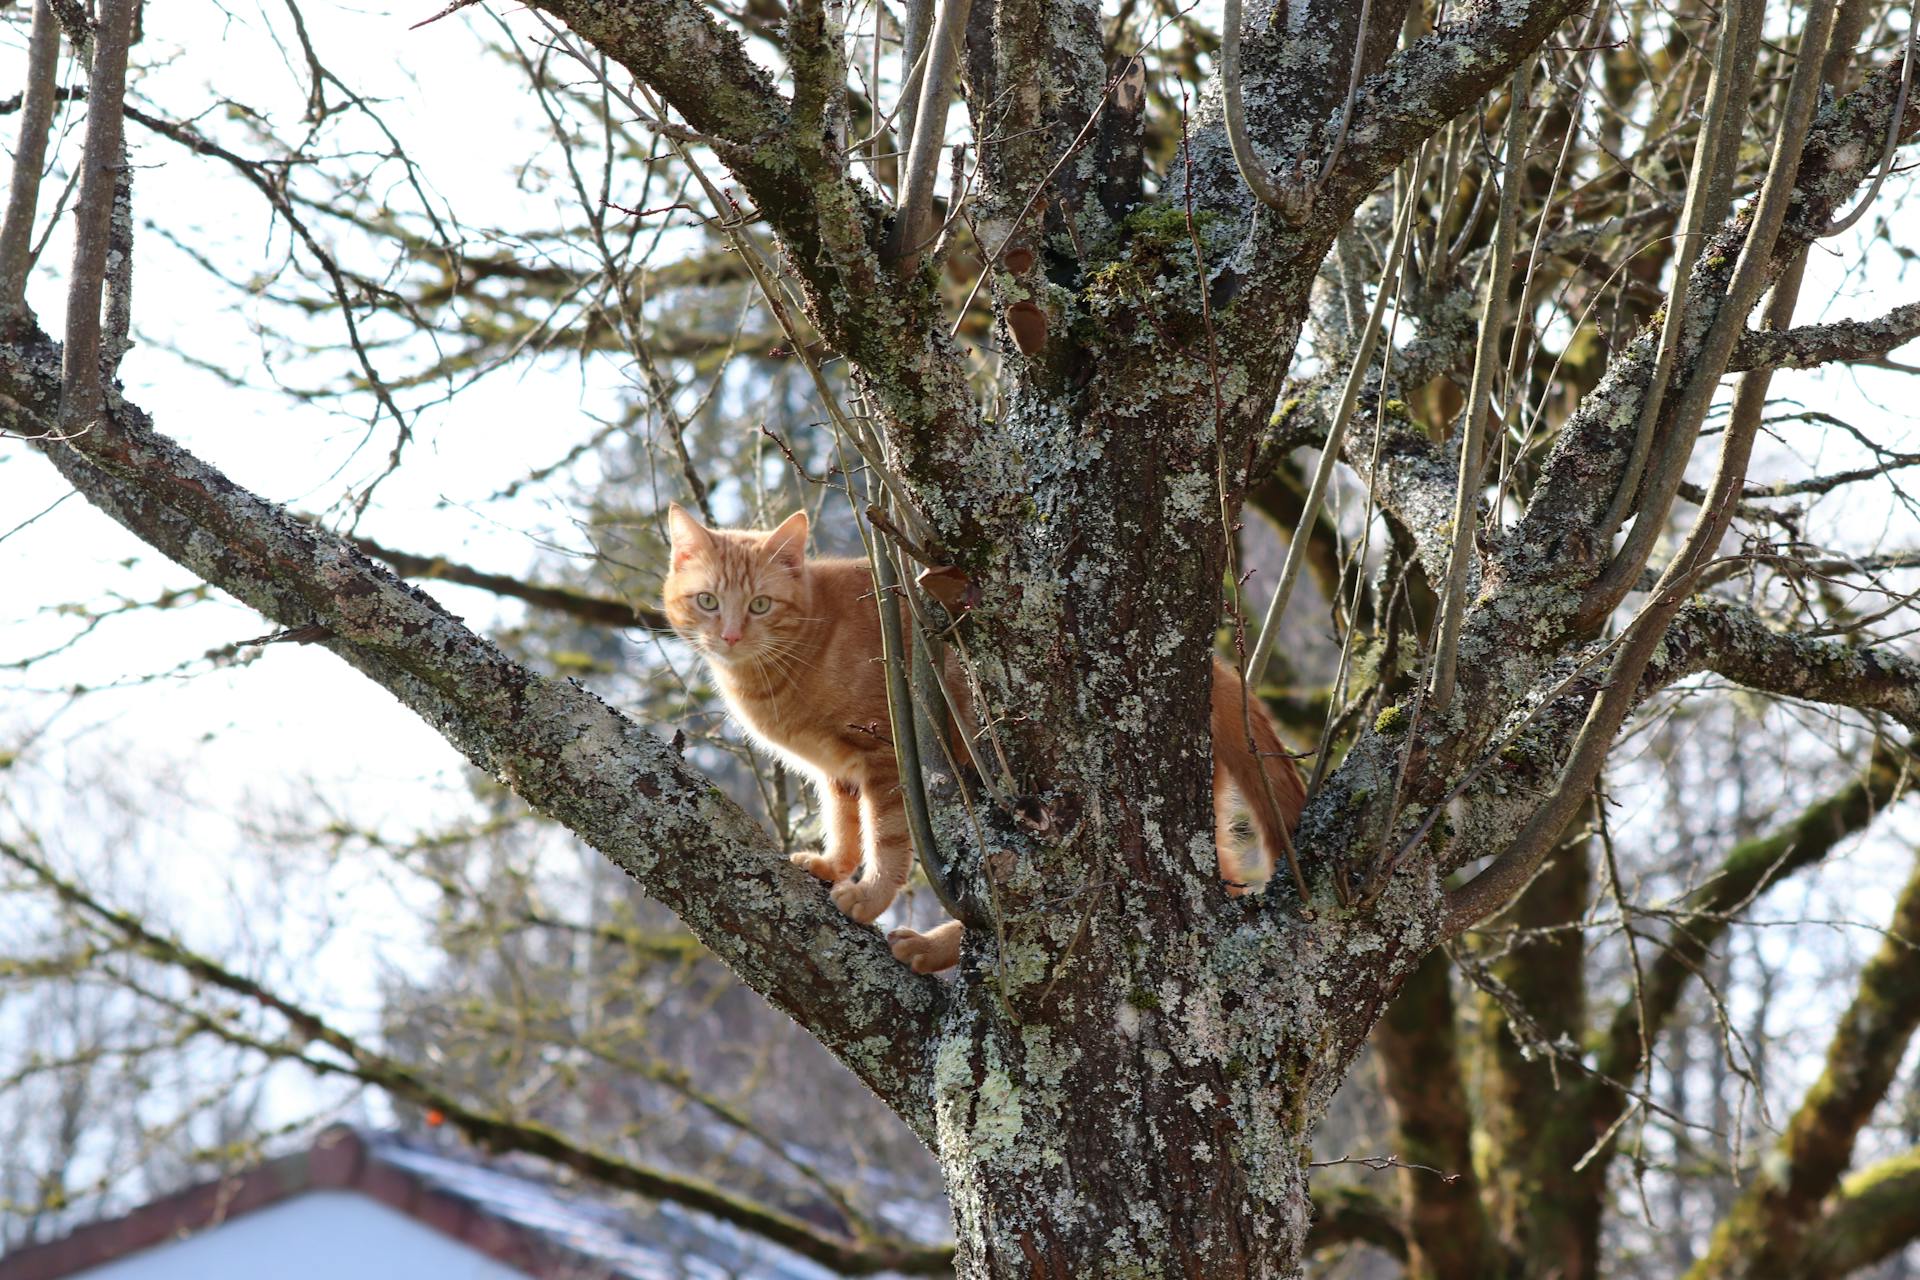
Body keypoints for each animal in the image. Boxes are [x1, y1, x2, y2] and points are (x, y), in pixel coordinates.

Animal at [660, 506, 1305, 974]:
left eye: (760, 604)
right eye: (708, 601)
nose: (730, 634)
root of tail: (1214, 669)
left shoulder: (889, 758)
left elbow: (886, 839)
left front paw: (869, 895)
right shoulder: (838, 771)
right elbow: (844, 825)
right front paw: (833, 865)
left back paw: (931, 946)